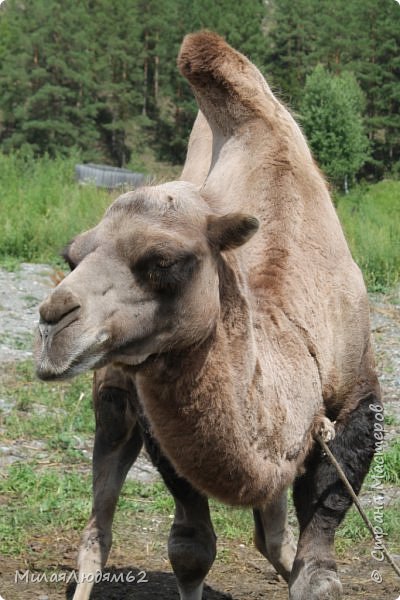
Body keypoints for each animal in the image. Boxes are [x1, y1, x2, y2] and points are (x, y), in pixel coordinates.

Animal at [35, 32, 382, 600]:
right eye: (71, 257)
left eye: (163, 261)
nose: (51, 322)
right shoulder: (157, 421)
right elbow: (191, 549)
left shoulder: (357, 394)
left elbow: (317, 563)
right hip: (113, 404)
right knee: (97, 530)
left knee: (272, 531)